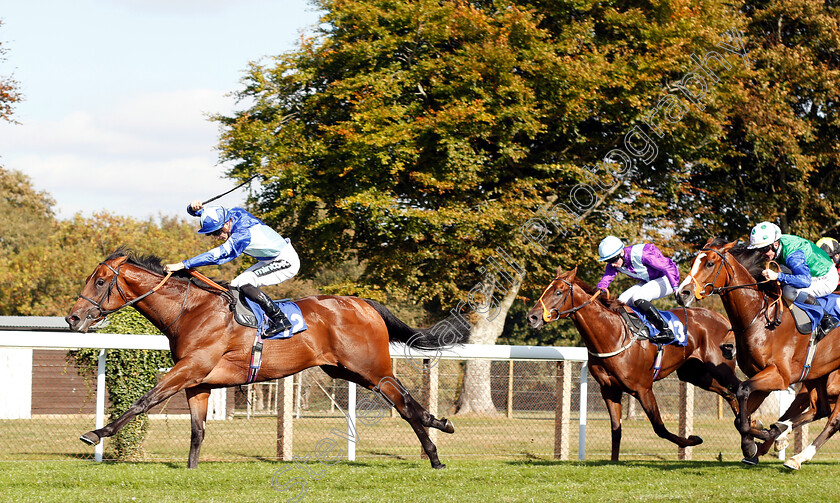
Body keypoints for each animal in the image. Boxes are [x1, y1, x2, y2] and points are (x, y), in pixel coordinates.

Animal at [64, 250, 466, 470]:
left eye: (99, 281)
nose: (73, 318)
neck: (191, 310)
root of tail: (364, 303)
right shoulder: (198, 381)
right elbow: (197, 430)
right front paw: (191, 470)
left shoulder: (190, 368)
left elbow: (145, 400)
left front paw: (96, 433)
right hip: (346, 371)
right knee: (406, 402)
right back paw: (439, 427)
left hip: (371, 368)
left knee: (405, 405)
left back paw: (436, 450)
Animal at [528, 268, 740, 460]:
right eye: (545, 290)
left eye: (558, 292)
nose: (532, 317)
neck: (612, 334)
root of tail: (722, 318)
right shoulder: (609, 389)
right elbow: (616, 430)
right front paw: (613, 463)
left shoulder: (643, 389)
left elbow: (660, 428)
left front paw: (693, 439)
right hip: (696, 374)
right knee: (729, 393)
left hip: (720, 368)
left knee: (740, 389)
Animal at [676, 239, 840, 468]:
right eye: (693, 261)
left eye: (709, 263)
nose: (682, 293)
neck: (761, 320)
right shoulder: (761, 374)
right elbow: (740, 415)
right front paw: (761, 437)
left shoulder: (779, 376)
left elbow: (742, 392)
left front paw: (755, 440)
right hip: (818, 374)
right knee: (821, 409)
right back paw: (785, 440)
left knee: (833, 419)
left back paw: (797, 456)